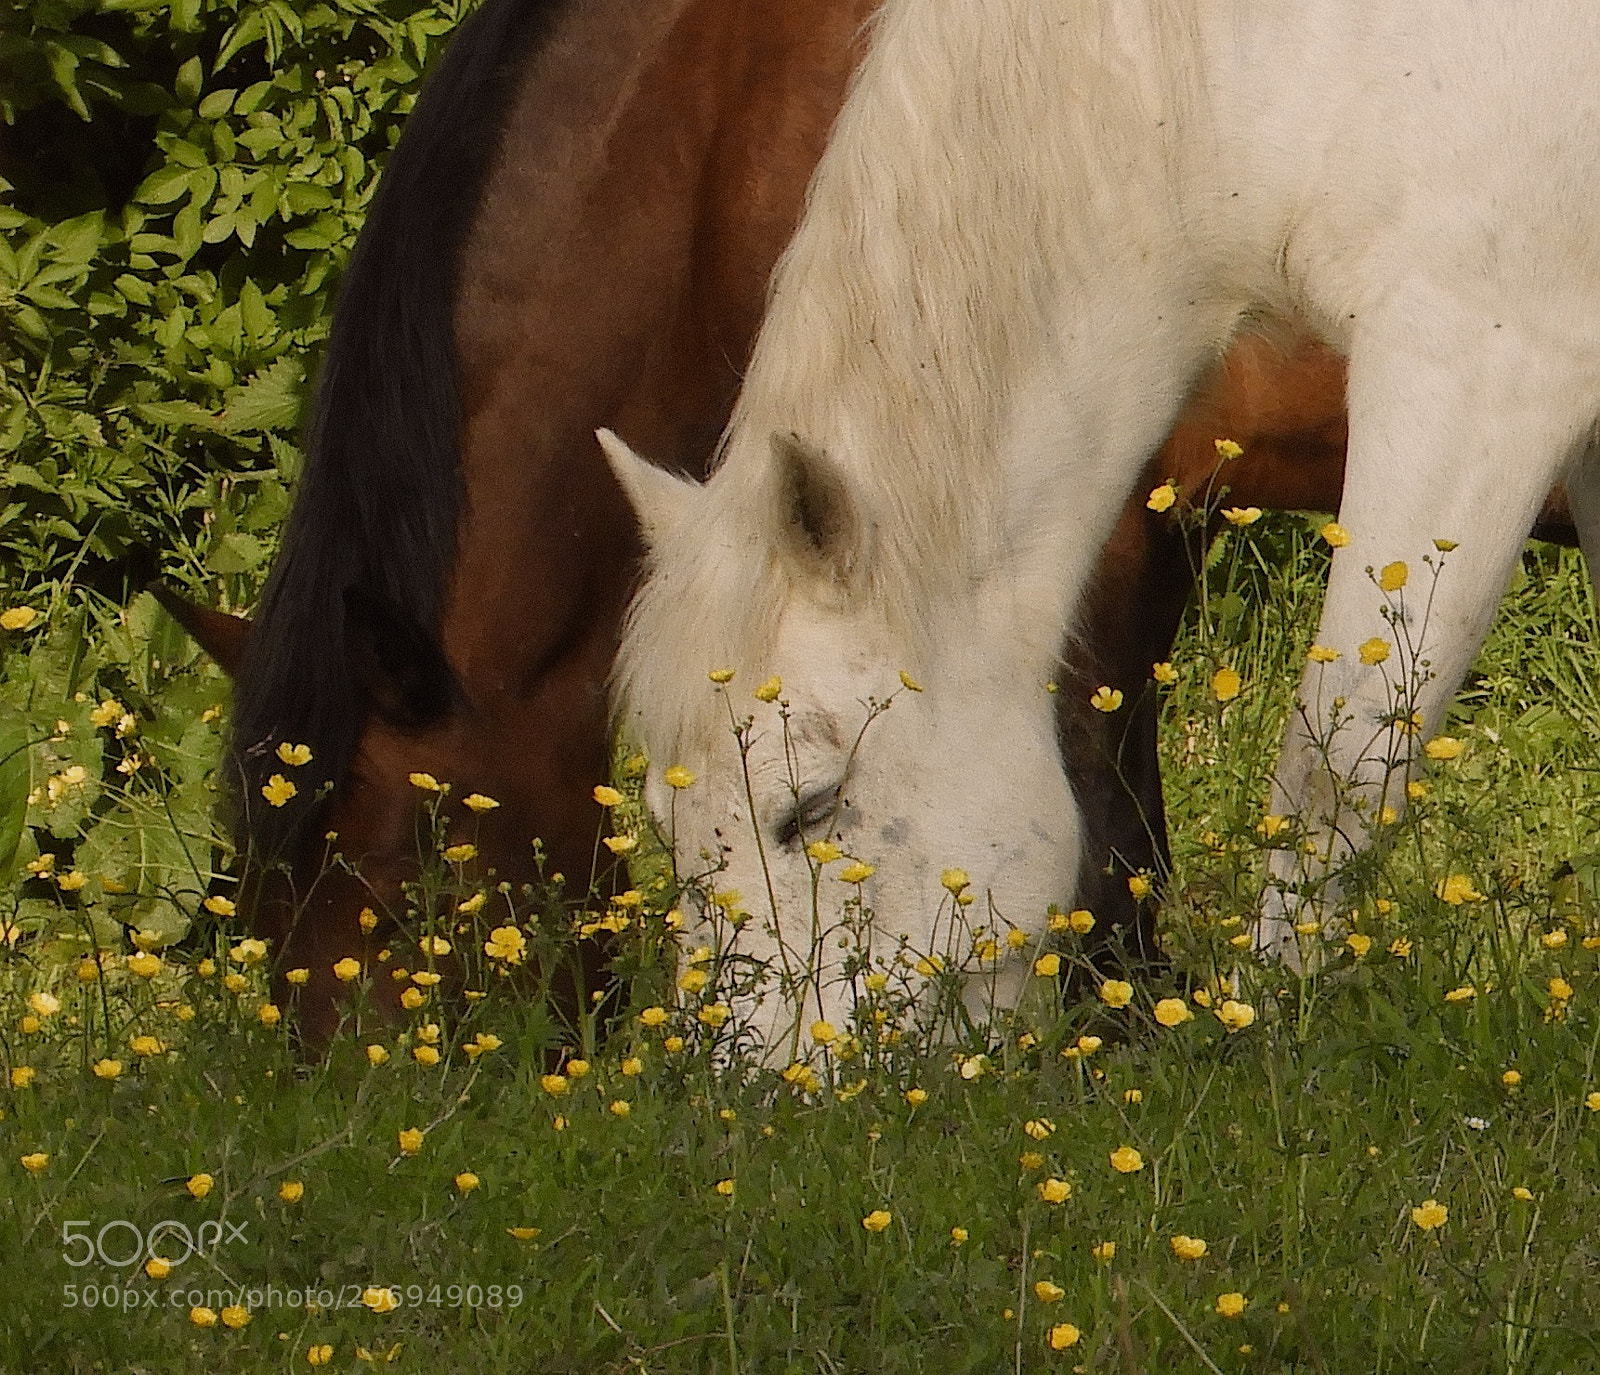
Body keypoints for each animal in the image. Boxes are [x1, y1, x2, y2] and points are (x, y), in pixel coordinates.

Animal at [604, 0, 1600, 1047]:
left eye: (811, 807)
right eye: (663, 823)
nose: (747, 1081)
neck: (1272, 54)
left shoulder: (1477, 360)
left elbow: (1335, 770)